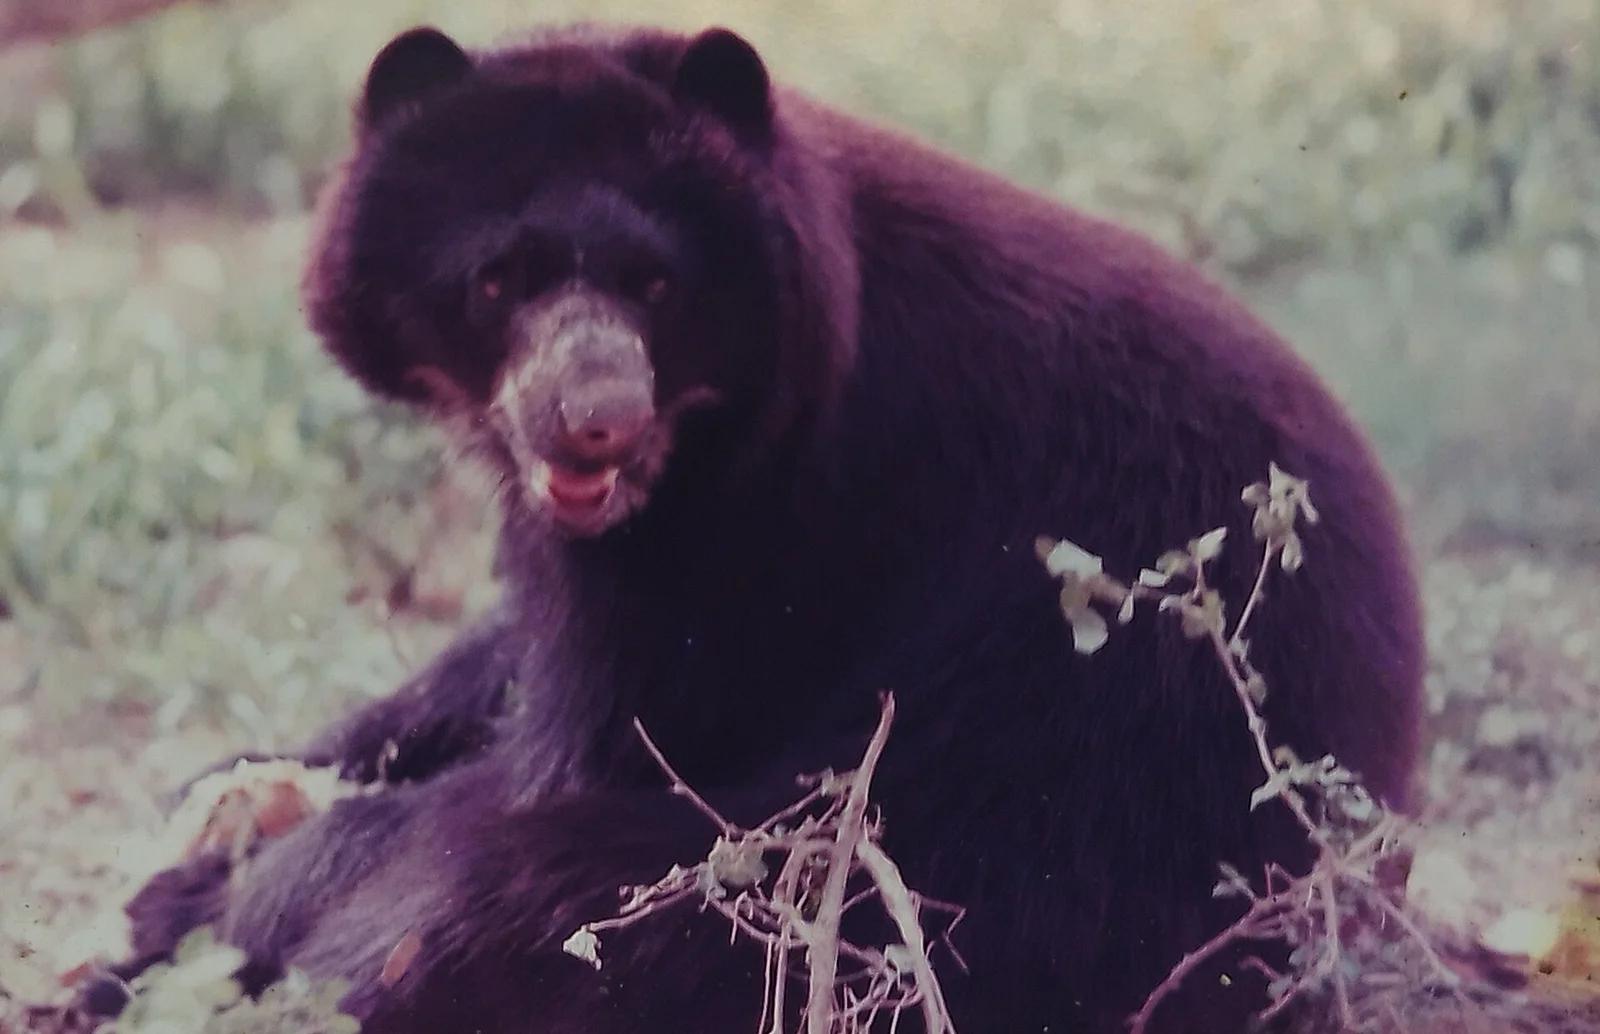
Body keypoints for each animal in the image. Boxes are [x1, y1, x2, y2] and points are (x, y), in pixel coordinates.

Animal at [92, 21, 1423, 1034]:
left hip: (1049, 839)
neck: (695, 444)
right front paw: (224, 787)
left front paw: (227, 888)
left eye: (655, 283)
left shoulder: (766, 531)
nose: (595, 419)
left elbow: (576, 750)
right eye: (496, 279)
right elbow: (493, 664)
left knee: (495, 906)